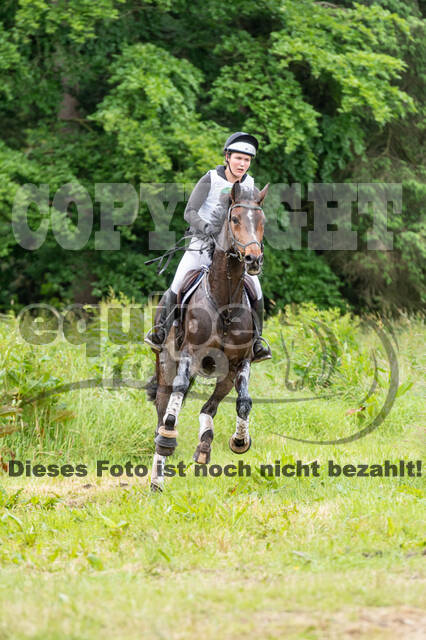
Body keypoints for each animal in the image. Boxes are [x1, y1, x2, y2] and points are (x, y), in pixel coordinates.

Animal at [147, 180, 269, 491]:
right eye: (234, 218)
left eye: (261, 220)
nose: (253, 259)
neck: (224, 302)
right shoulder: (189, 355)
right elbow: (176, 397)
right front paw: (166, 442)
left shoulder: (240, 362)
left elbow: (244, 402)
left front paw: (240, 440)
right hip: (166, 363)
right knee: (163, 404)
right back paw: (158, 469)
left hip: (224, 375)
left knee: (209, 407)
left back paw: (203, 447)